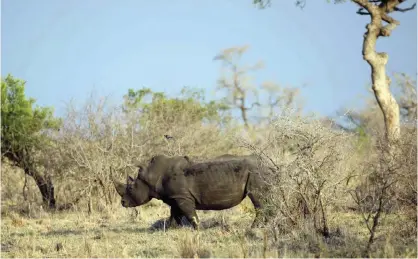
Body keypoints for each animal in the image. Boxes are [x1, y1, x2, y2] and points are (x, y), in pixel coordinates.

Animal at [112, 154, 268, 230]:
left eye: (130, 188)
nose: (123, 202)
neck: (152, 176)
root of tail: (266, 162)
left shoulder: (182, 197)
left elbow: (190, 214)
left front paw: (198, 229)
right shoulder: (175, 197)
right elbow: (174, 214)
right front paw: (171, 229)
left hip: (255, 172)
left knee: (257, 200)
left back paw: (253, 228)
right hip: (257, 173)